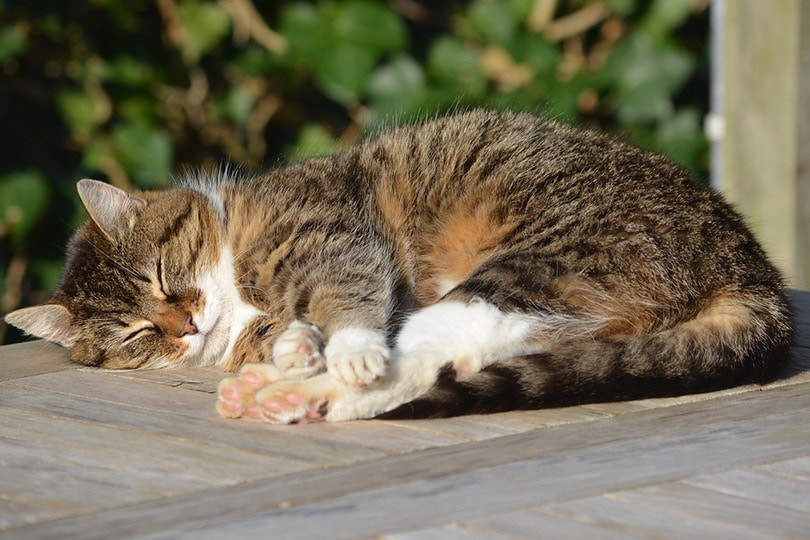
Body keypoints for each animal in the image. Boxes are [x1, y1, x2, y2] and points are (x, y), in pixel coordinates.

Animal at [4, 108, 788, 422]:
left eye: (164, 277)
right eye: (138, 335)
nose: (184, 326)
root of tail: (748, 264)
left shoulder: (335, 237)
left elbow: (349, 302)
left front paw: (333, 349)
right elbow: (294, 331)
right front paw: (289, 348)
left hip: (531, 263)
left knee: (416, 357)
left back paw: (302, 394)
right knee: (465, 355)